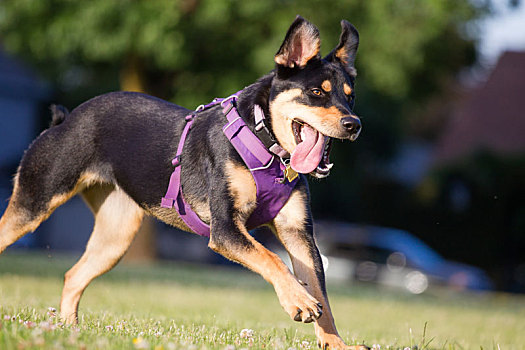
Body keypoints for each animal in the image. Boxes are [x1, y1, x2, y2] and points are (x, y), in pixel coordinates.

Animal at [0, 15, 364, 348]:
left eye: (349, 96)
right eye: (316, 92)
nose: (354, 124)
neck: (265, 142)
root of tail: (65, 119)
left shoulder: (298, 234)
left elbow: (322, 294)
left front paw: (336, 344)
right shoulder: (226, 229)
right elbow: (271, 258)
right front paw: (299, 302)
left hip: (116, 237)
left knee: (73, 276)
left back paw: (69, 331)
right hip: (34, 201)